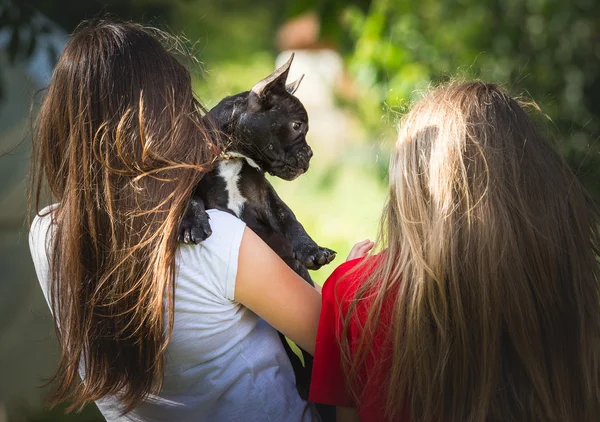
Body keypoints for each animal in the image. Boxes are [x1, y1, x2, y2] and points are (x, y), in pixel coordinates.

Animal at [178, 54, 338, 400]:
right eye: (297, 126)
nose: (310, 153)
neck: (230, 156)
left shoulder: (267, 200)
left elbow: (290, 219)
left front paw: (312, 250)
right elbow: (191, 201)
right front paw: (192, 223)